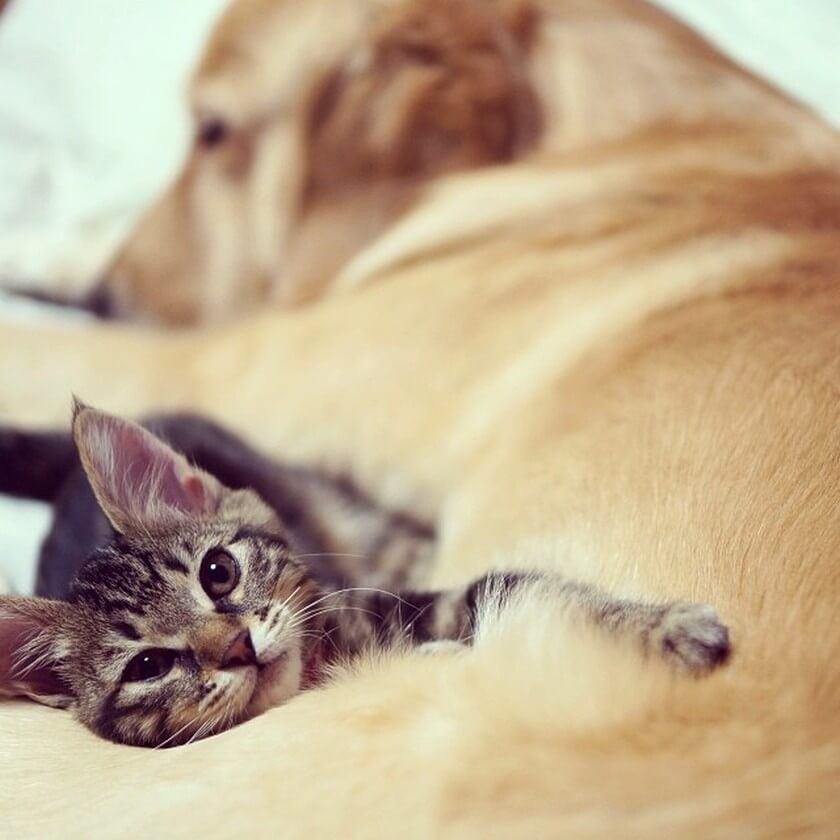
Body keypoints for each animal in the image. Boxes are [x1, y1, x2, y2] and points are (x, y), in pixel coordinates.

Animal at [0, 404, 728, 744]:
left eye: (218, 572)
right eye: (148, 666)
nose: (236, 647)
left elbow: (519, 587)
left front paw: (665, 628)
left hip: (331, 502)